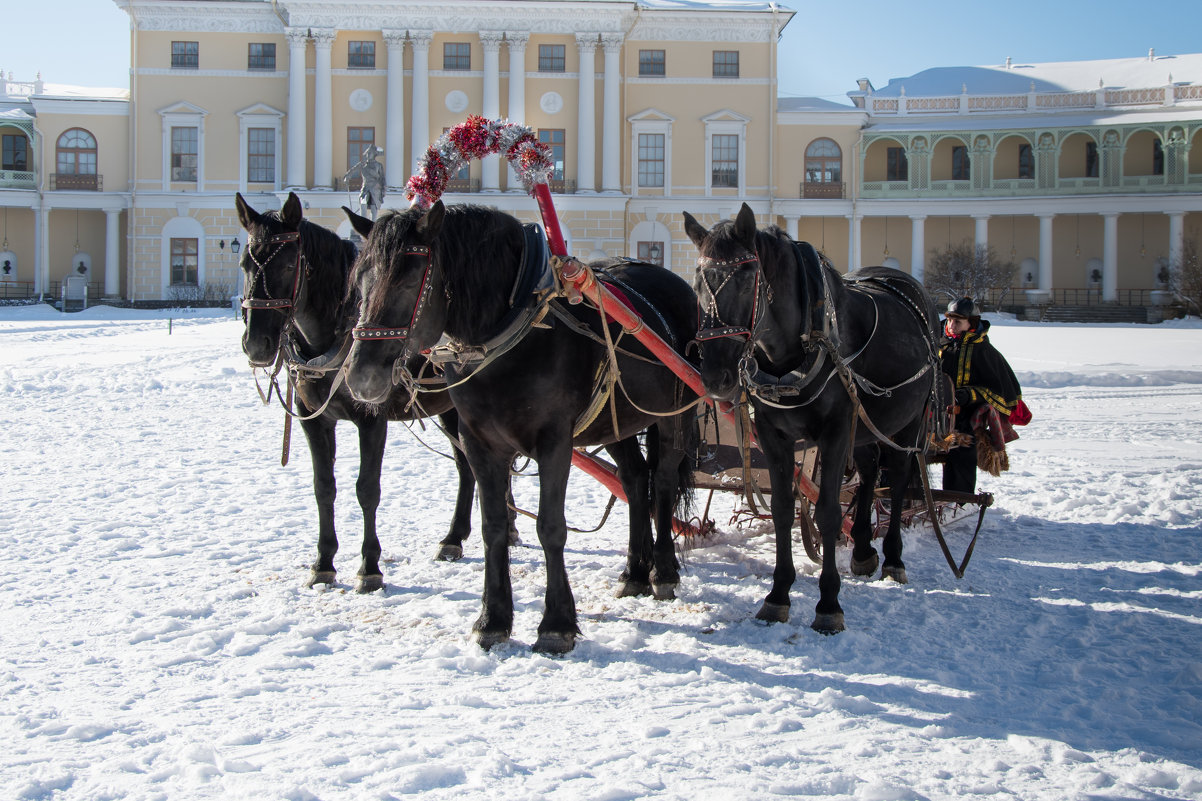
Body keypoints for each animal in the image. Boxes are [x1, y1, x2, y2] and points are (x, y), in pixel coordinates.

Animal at [235, 187, 488, 586]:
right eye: (245, 263)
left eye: (289, 266)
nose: (256, 344)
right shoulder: (313, 419)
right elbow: (324, 487)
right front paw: (323, 562)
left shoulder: (371, 420)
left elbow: (367, 489)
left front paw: (369, 566)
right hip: (449, 408)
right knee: (467, 466)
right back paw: (457, 536)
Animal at [343, 203, 701, 654]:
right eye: (359, 279)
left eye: (409, 279)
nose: (361, 377)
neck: (511, 336)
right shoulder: (479, 443)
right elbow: (493, 526)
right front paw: (492, 619)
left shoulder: (555, 443)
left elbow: (550, 527)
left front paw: (556, 623)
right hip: (615, 420)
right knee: (636, 480)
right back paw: (634, 571)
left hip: (674, 415)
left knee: (664, 481)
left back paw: (663, 572)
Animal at [687, 203, 947, 635]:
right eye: (697, 284)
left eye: (747, 279)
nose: (715, 375)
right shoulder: (772, 435)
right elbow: (781, 509)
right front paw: (777, 595)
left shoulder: (835, 430)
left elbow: (826, 512)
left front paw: (828, 603)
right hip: (865, 429)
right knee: (869, 473)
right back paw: (863, 549)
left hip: (907, 424)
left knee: (896, 480)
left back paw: (893, 558)